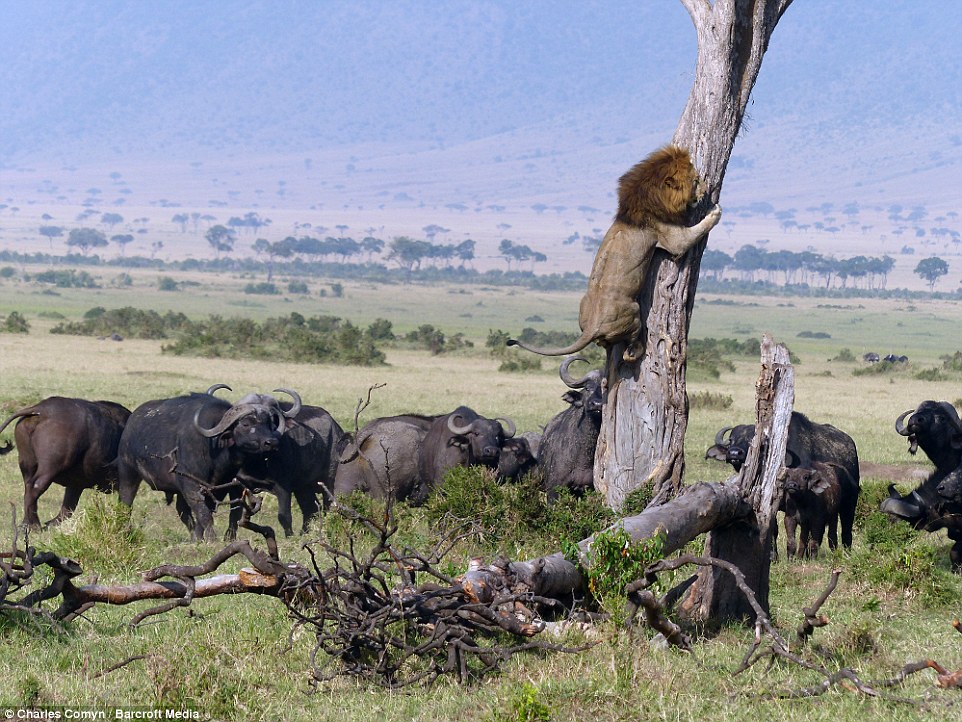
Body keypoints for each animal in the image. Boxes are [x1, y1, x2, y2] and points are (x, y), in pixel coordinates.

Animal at [0, 396, 130, 524]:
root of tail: (41, 409)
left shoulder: (76, 485)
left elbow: (67, 510)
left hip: (27, 464)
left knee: (30, 488)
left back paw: (28, 523)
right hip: (50, 468)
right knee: (35, 487)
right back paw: (34, 525)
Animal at [506, 143, 716, 362]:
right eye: (695, 181)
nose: (705, 190)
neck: (649, 196)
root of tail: (592, 326)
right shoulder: (671, 236)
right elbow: (695, 232)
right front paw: (715, 210)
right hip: (632, 311)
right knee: (630, 346)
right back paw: (637, 350)